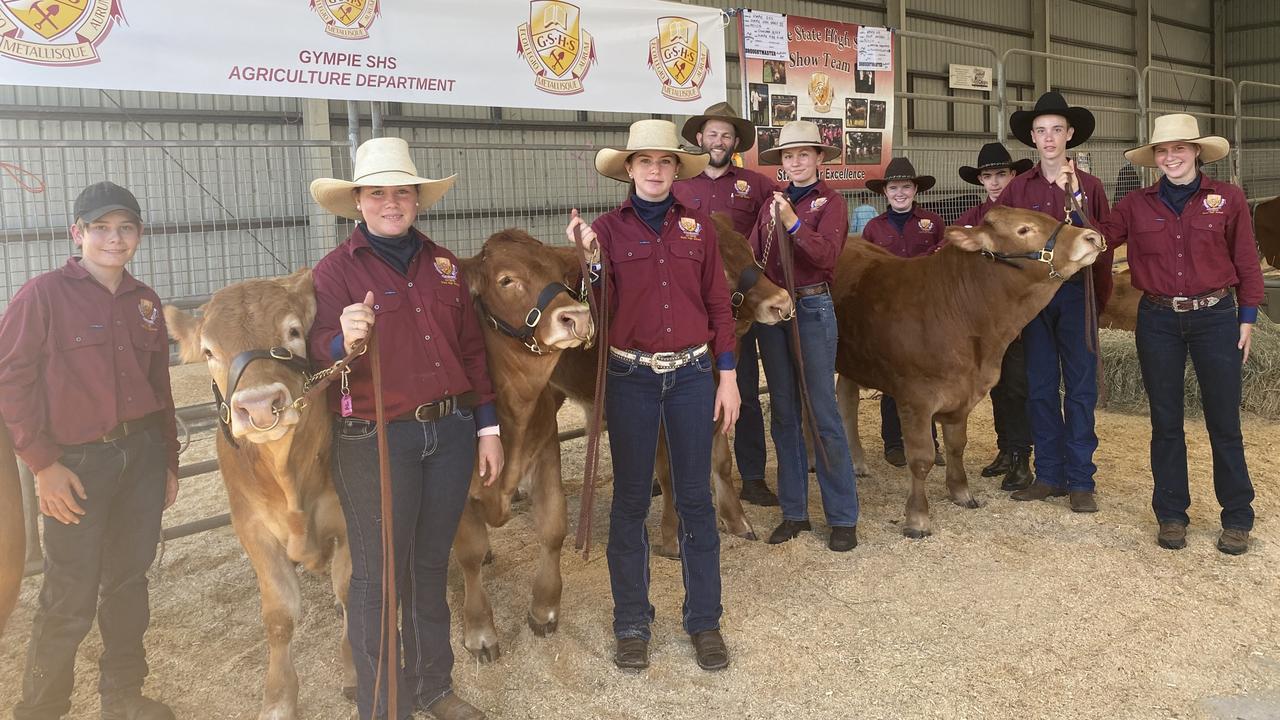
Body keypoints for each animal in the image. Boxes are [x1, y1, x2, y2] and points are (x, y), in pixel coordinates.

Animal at [167, 269, 355, 717]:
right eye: (209, 350)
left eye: (293, 331)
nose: (258, 404)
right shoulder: (251, 527)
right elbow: (279, 615)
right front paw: (279, 698)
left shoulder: (348, 516)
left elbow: (349, 590)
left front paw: (355, 670)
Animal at [450, 226, 593, 661]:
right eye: (506, 280)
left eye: (561, 277)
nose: (577, 316)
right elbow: (469, 553)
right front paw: (480, 631)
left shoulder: (545, 452)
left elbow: (554, 528)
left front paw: (544, 609)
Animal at [834, 204, 1105, 535]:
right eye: (1024, 229)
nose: (1091, 236)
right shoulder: (915, 398)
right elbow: (921, 459)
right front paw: (917, 518)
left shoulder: (963, 393)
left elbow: (956, 446)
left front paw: (961, 492)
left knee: (846, 401)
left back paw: (856, 463)